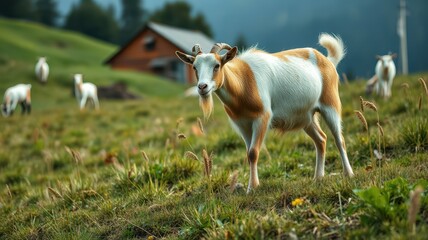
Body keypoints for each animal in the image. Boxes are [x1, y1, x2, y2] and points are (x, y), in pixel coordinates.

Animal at [176, 32, 354, 192]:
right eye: (194, 67)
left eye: (217, 65)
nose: (202, 87)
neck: (244, 81)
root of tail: (327, 60)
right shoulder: (242, 125)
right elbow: (248, 153)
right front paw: (253, 186)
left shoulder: (262, 118)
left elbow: (253, 153)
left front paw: (252, 188)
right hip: (307, 118)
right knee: (321, 139)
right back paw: (318, 177)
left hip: (330, 104)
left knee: (339, 139)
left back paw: (348, 174)